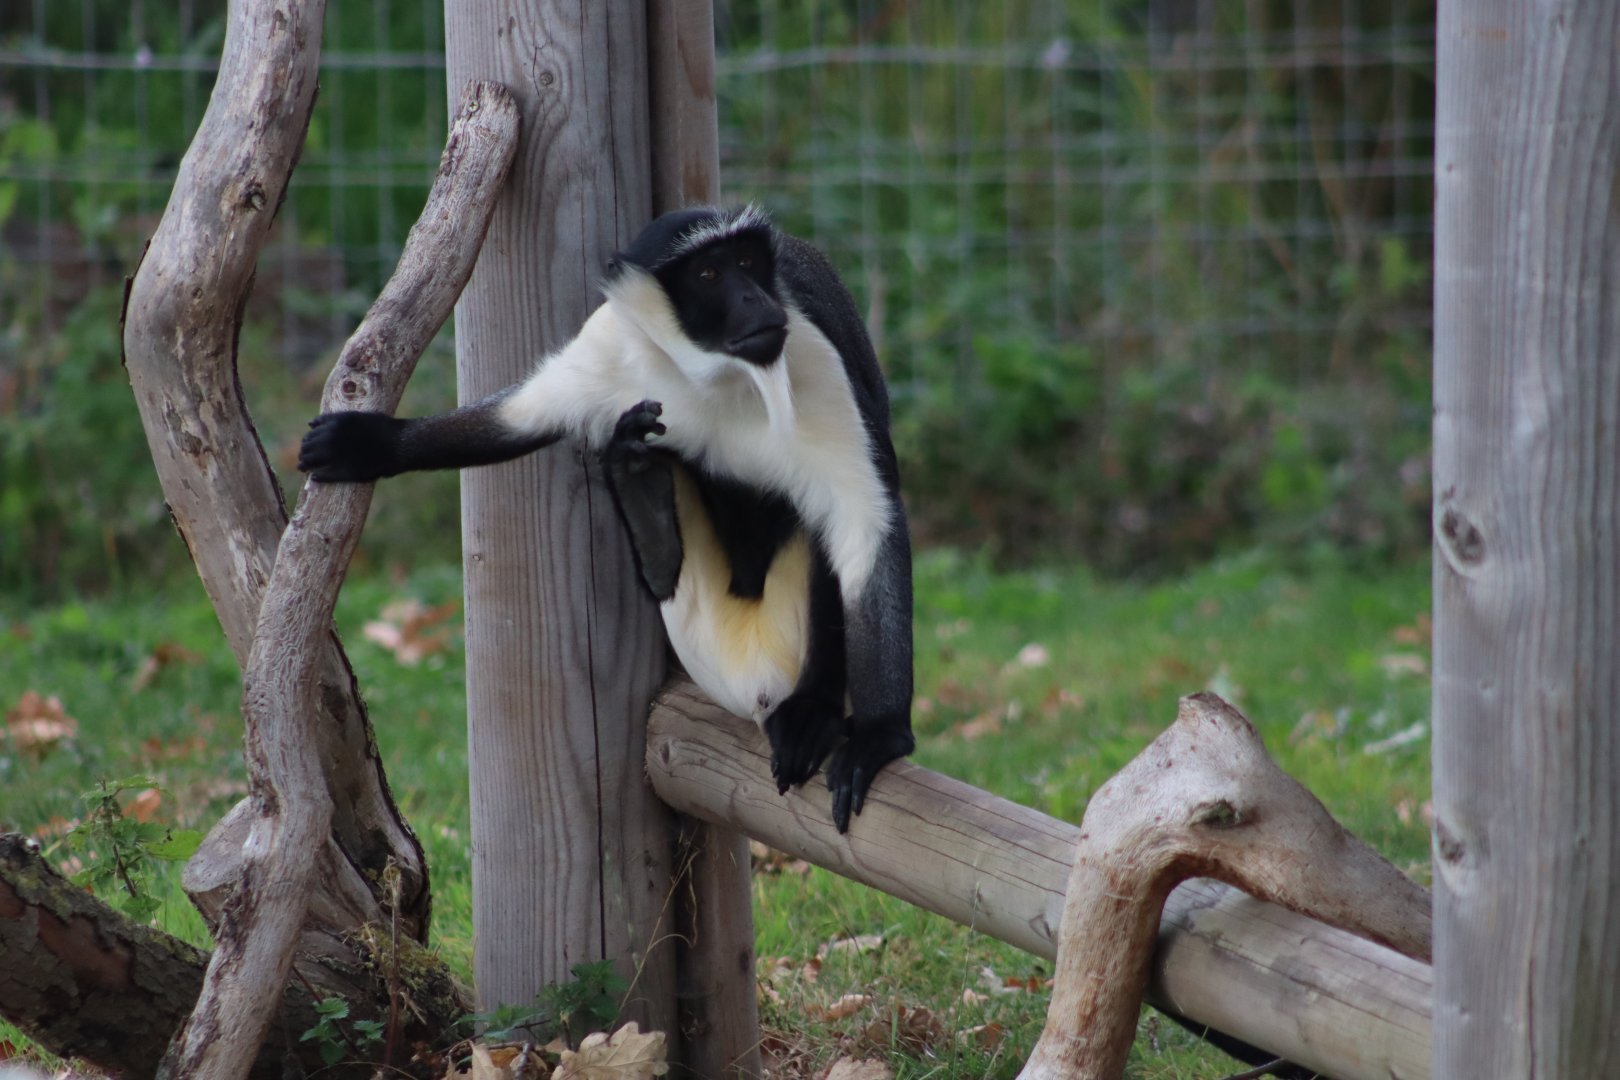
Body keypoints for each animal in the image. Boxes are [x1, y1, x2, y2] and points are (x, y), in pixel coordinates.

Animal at [299, 205, 913, 833]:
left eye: (747, 262)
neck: (715, 374)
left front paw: (879, 736)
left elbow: (863, 521)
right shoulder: (613, 340)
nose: (755, 299)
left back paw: (812, 710)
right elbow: (517, 417)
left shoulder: (811, 353)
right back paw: (643, 498)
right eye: (708, 274)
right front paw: (374, 445)